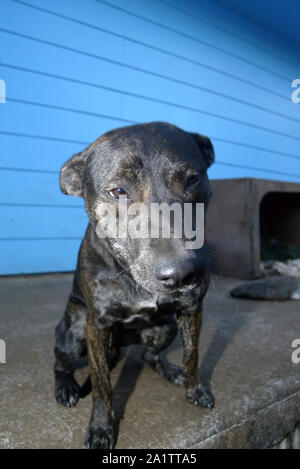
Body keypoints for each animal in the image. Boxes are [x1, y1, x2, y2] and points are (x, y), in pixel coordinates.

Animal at [54, 122, 216, 448]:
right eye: (118, 191)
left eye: (193, 179)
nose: (182, 273)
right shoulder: (97, 325)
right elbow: (102, 384)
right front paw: (101, 427)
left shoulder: (191, 310)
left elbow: (192, 355)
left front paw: (195, 389)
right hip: (74, 334)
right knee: (60, 362)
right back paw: (65, 386)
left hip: (165, 328)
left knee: (148, 355)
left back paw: (170, 370)